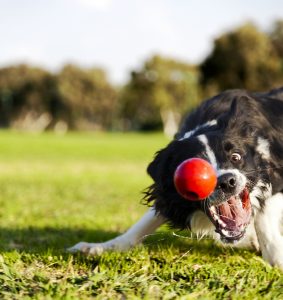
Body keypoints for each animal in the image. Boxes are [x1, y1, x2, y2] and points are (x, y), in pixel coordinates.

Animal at [69, 86, 283, 270]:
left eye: (236, 157)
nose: (227, 181)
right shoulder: (167, 190)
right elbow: (145, 222)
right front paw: (98, 247)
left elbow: (263, 215)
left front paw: (275, 256)